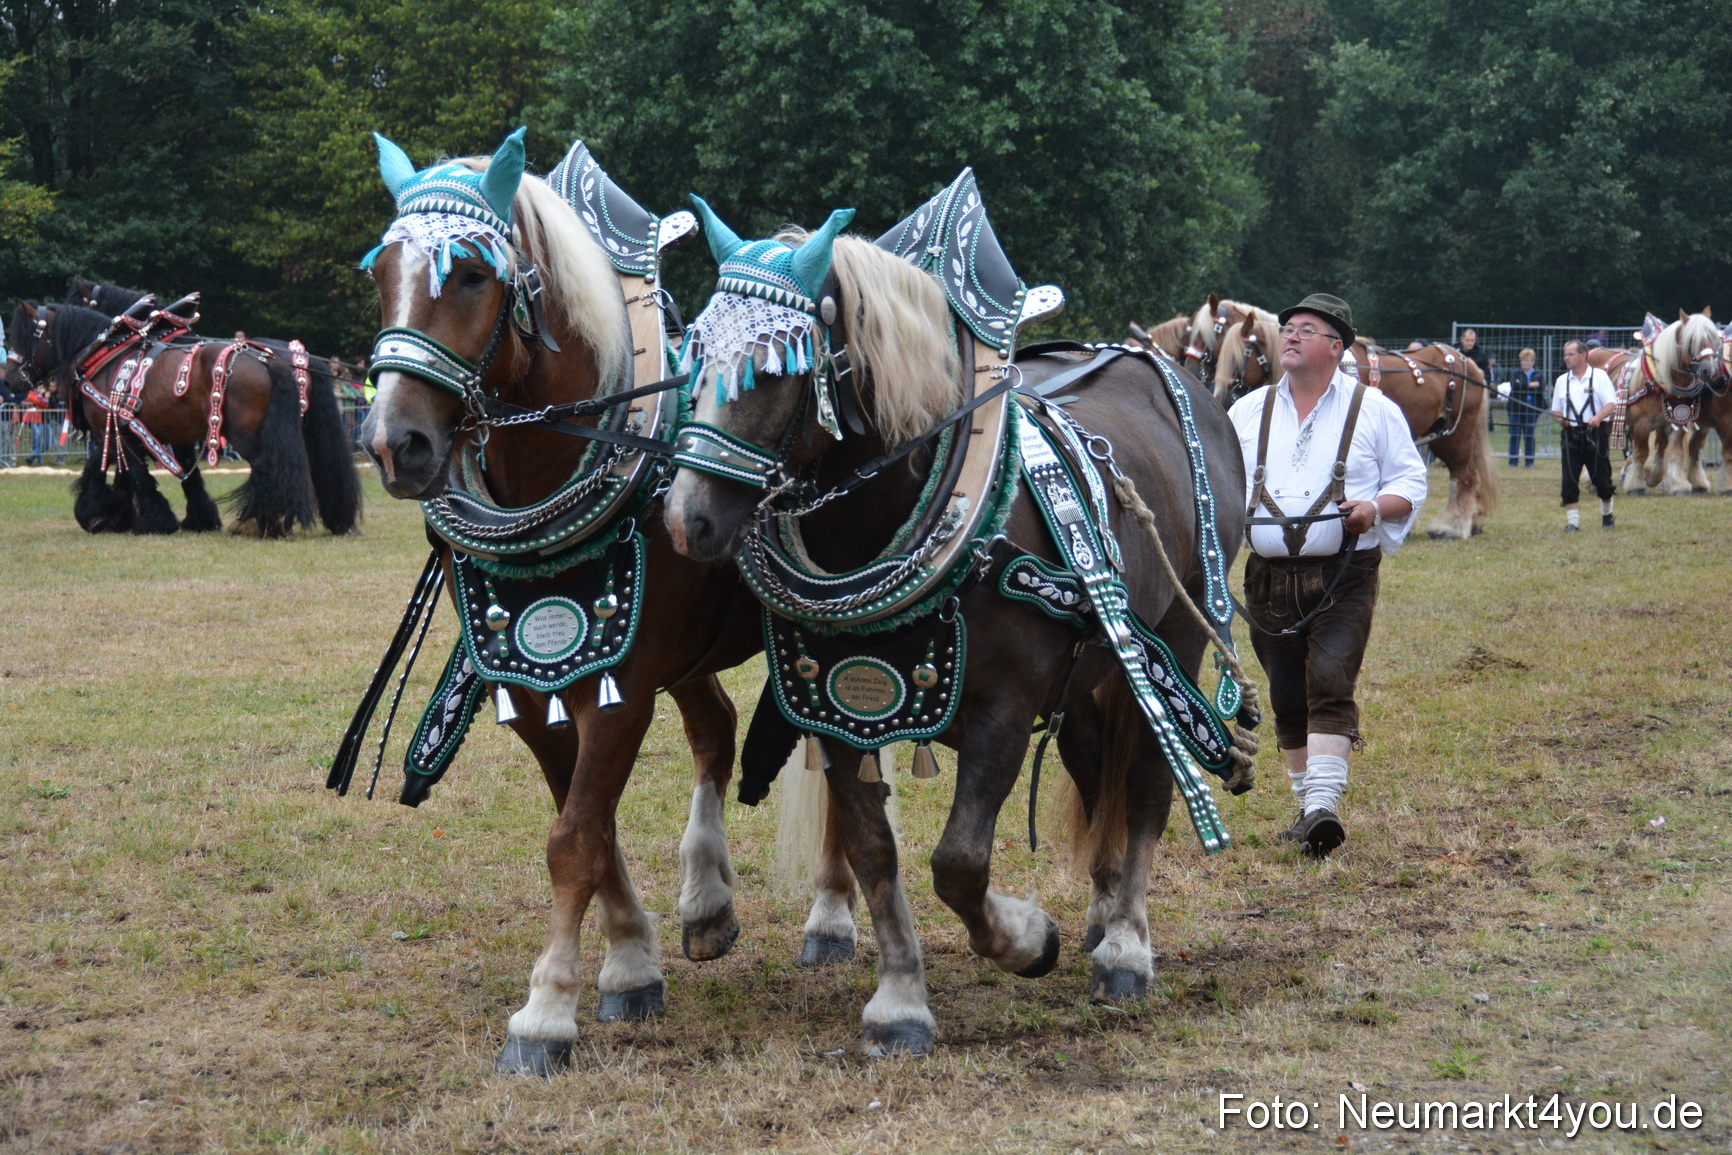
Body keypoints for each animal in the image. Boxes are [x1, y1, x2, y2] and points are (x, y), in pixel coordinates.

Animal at [9, 300, 360, 536]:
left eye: (24, 338)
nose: (9, 380)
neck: (108, 353)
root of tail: (267, 358)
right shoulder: (156, 431)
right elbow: (182, 477)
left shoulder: (118, 426)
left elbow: (133, 474)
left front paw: (144, 519)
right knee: (310, 465)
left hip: (245, 433)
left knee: (267, 467)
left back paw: (259, 521)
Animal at [350, 129, 765, 1076]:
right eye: (381, 271)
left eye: (473, 275)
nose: (395, 444)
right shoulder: (533, 684)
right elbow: (589, 822)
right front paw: (630, 965)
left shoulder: (622, 685)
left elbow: (576, 834)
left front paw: (544, 1014)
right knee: (716, 727)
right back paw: (707, 901)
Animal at [664, 193, 1251, 1055]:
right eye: (693, 356)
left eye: (774, 367)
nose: (686, 519)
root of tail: (1162, 369)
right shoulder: (836, 708)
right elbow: (875, 852)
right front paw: (900, 999)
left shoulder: (1003, 710)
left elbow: (960, 861)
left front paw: (1026, 938)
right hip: (1094, 668)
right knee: (1093, 770)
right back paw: (1103, 913)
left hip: (1174, 636)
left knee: (1145, 784)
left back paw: (1127, 948)